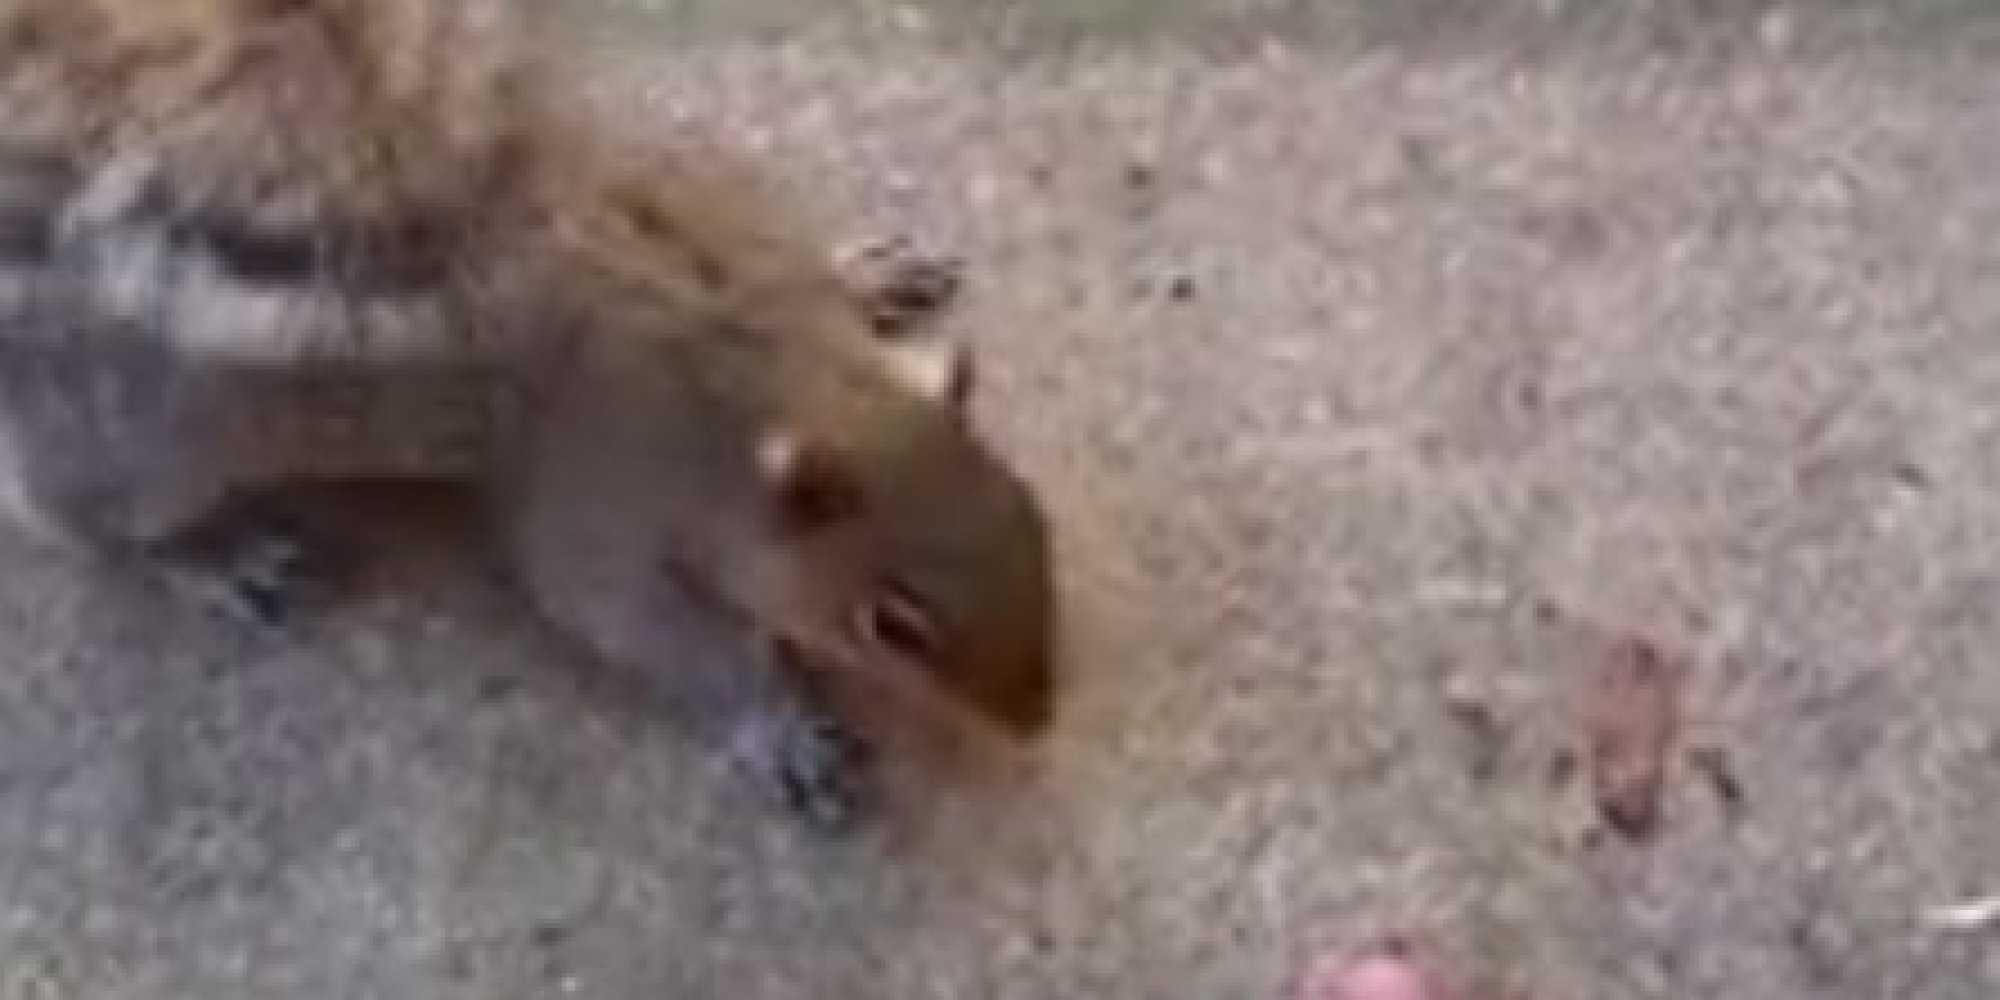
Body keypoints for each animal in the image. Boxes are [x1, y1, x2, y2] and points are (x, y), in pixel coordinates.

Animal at [0, 0, 1054, 832]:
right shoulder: (599, 490)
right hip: (144, 441)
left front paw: (871, 274)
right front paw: (779, 725)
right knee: (76, 516)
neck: (752, 357)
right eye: (893, 625)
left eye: (1034, 521)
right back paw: (219, 555)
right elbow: (635, 623)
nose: (1037, 719)